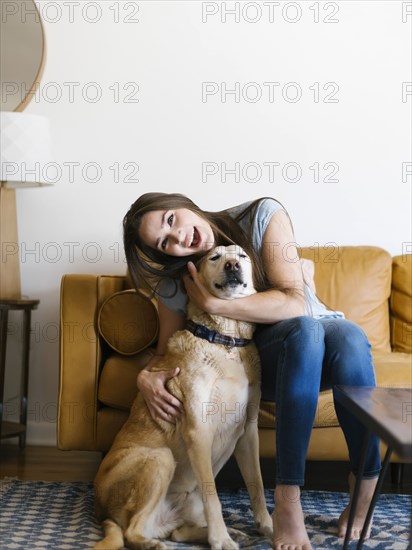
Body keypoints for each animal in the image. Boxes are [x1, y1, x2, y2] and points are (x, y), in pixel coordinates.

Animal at [94, 246, 274, 550]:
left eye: (242, 255)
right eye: (214, 257)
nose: (233, 265)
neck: (225, 338)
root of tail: (102, 510)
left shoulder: (248, 431)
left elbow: (258, 484)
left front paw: (268, 527)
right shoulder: (198, 430)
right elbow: (214, 498)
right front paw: (221, 540)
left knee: (176, 532)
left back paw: (227, 533)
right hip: (160, 458)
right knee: (132, 530)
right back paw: (155, 543)